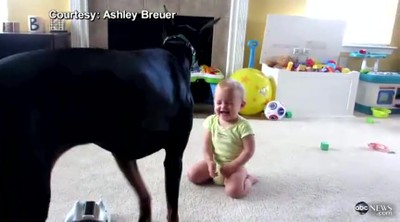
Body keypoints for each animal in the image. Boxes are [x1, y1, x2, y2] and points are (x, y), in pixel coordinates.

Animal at [0, 10, 219, 222]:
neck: (175, 49)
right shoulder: (174, 155)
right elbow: (172, 209)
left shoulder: (123, 153)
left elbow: (143, 193)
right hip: (32, 190)